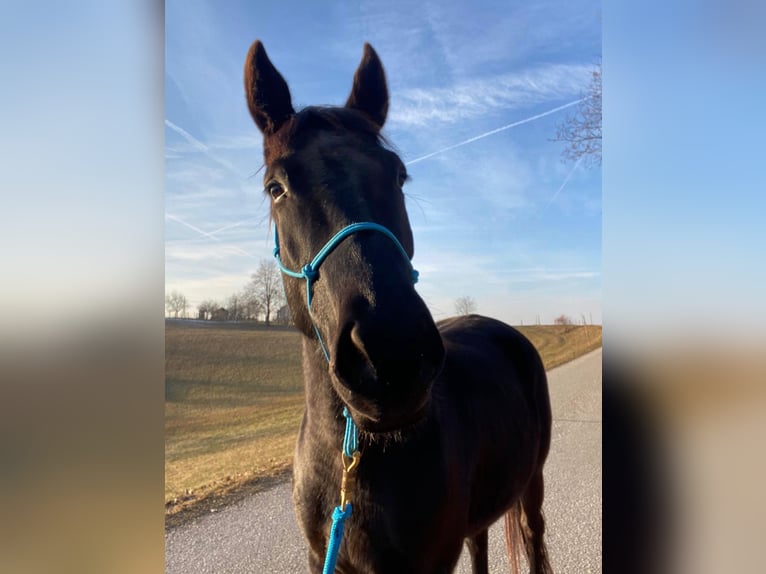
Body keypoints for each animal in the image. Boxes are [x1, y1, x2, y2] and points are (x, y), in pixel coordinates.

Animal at [243, 40, 553, 574]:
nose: (391, 352)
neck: (350, 468)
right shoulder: (319, 556)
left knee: (533, 537)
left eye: (398, 175)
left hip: (531, 485)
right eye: (275, 187)